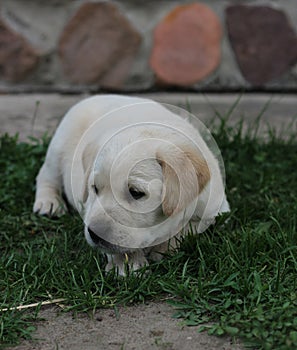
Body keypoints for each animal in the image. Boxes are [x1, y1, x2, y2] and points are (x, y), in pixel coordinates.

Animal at [33, 94, 229, 274]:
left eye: (135, 192)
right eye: (95, 188)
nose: (95, 234)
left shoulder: (217, 210)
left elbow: (189, 228)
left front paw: (163, 248)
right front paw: (125, 264)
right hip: (58, 145)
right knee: (46, 175)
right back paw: (48, 203)